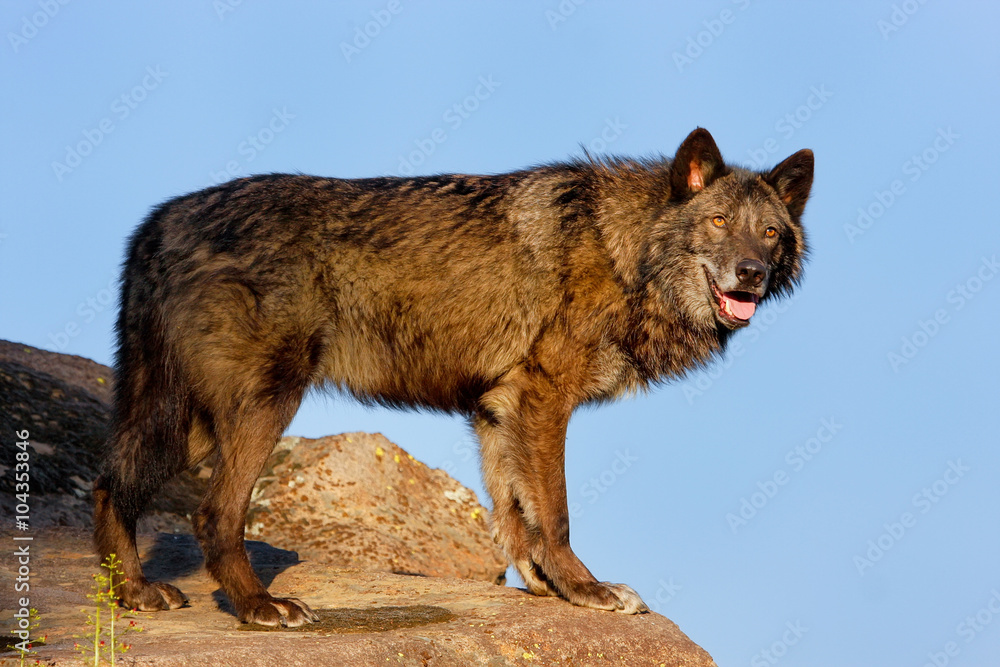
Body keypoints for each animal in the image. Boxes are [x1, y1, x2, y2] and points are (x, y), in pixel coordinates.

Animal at [93, 128, 813, 626]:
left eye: (771, 233)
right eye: (717, 221)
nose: (751, 273)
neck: (624, 252)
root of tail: (157, 223)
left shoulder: (498, 409)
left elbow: (515, 516)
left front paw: (547, 587)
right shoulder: (544, 400)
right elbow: (555, 515)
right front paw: (586, 589)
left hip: (184, 419)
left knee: (109, 484)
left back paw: (133, 592)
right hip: (258, 408)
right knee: (213, 513)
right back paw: (259, 607)